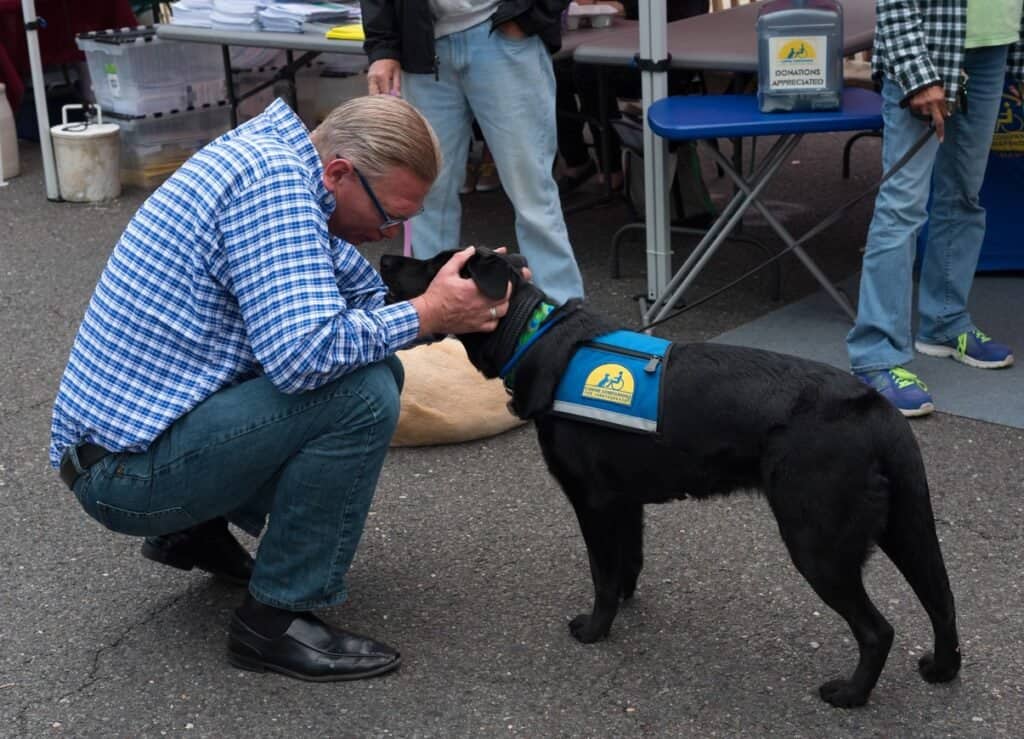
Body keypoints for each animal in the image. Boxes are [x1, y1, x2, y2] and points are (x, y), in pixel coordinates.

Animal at [382, 248, 958, 708]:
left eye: (435, 266)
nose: (386, 256)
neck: (534, 334)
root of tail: (876, 409)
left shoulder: (591, 500)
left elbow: (602, 572)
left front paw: (595, 630)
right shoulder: (624, 501)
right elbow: (627, 562)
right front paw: (625, 605)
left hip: (817, 544)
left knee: (878, 630)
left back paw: (851, 694)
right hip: (904, 526)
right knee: (942, 601)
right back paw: (941, 669)